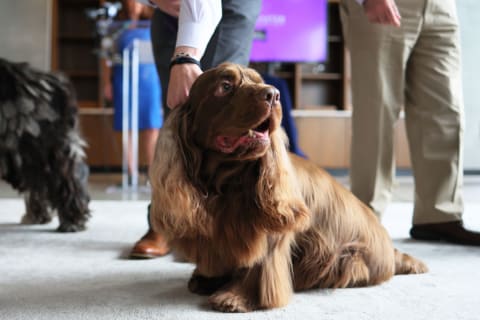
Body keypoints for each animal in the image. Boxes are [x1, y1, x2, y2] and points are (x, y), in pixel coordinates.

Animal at [150, 62, 428, 312]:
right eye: (225, 86)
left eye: (258, 80)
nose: (273, 94)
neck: (226, 181)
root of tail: (391, 250)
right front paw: (208, 279)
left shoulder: (272, 224)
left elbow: (261, 264)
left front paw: (235, 297)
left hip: (347, 259)